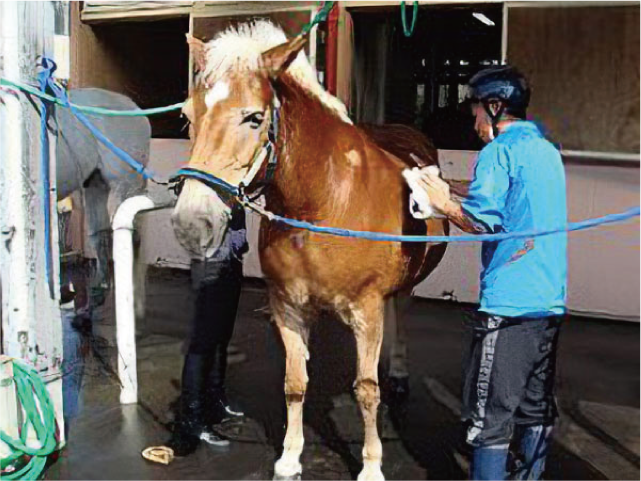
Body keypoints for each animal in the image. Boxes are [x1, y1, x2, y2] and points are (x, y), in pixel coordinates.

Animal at [171, 21, 447, 481]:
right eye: (188, 116)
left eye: (254, 118)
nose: (194, 221)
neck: (325, 200)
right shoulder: (288, 307)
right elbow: (295, 384)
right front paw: (289, 457)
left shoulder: (366, 309)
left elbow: (366, 391)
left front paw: (371, 466)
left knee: (399, 317)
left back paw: (399, 371)